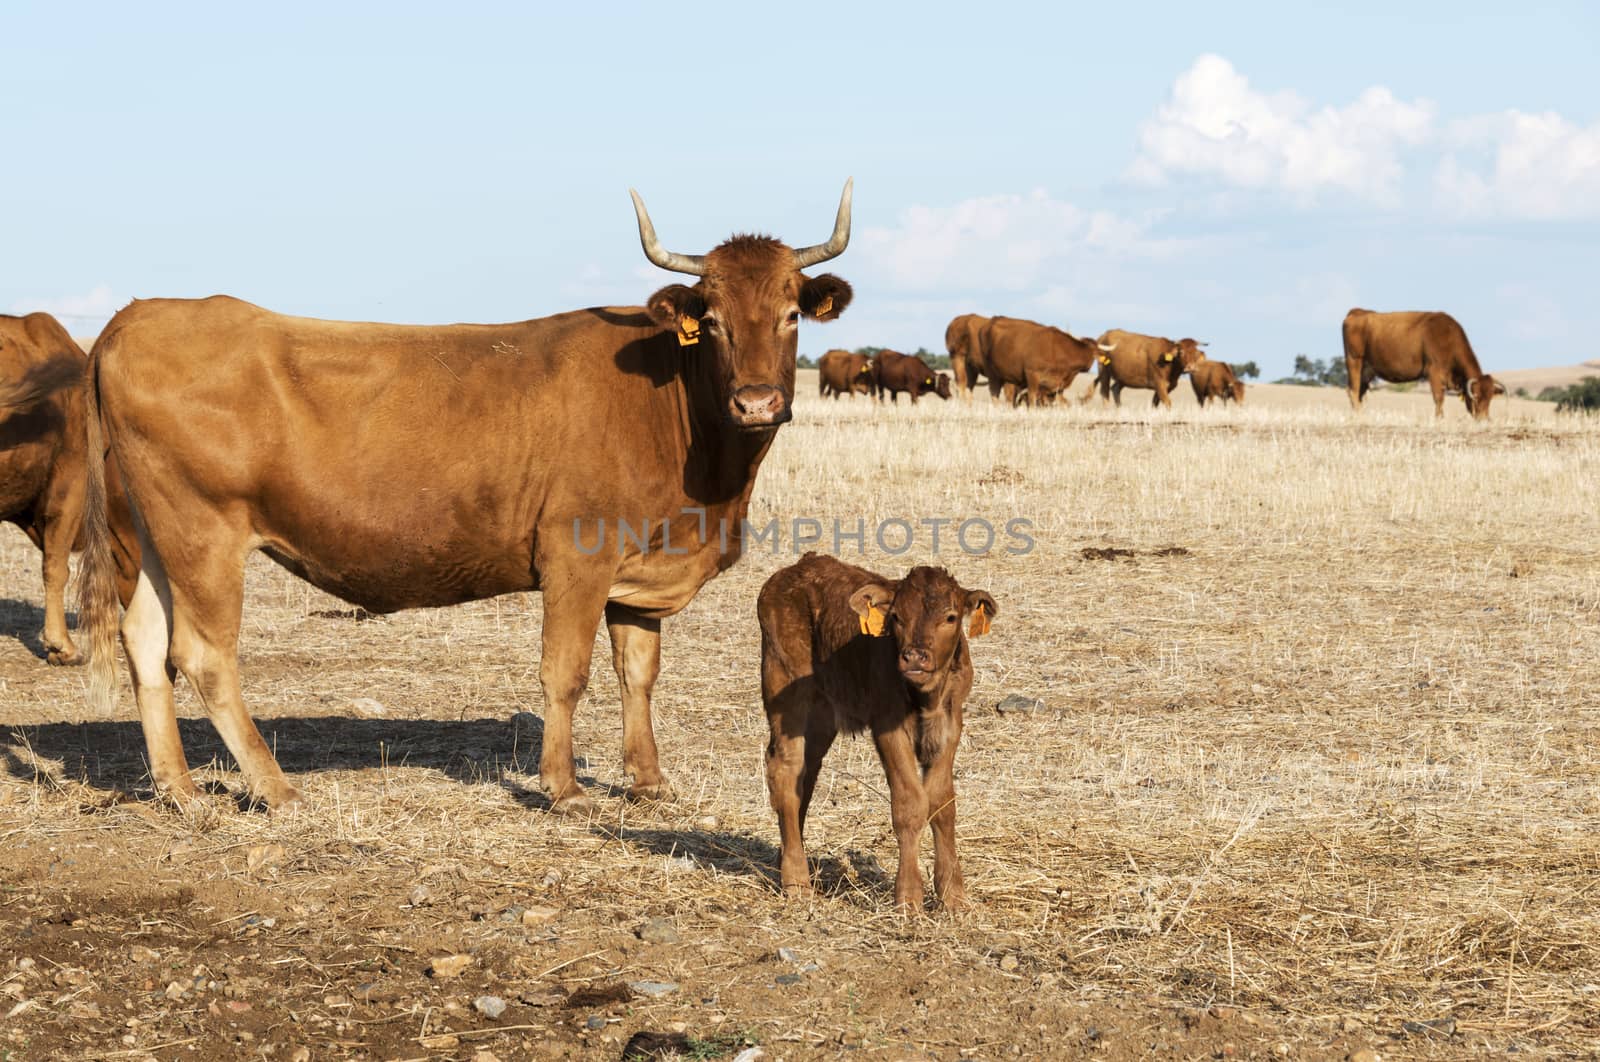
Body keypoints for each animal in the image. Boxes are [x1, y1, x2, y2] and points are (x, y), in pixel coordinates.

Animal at [84, 180, 864, 812]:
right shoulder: (577, 556)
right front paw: (565, 788)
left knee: (144, 641)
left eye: (792, 315)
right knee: (204, 653)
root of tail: (137, 315)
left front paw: (648, 782)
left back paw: (181, 790)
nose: (757, 401)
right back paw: (275, 787)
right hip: (204, 531)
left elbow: (637, 675)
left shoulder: (639, 570)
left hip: (151, 533)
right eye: (718, 322)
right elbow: (565, 673)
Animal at [755, 550, 992, 908]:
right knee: (785, 769)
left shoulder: (951, 724)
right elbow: (910, 804)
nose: (914, 657)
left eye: (950, 617)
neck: (926, 698)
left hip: (823, 714)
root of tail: (799, 566)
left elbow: (942, 804)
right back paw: (797, 881)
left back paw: (786, 860)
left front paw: (953, 896)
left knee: (804, 778)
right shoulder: (887, 725)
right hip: (784, 684)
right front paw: (909, 898)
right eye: (895, 617)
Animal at [972, 315, 1113, 406]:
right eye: (1090, 352)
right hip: (992, 374)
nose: (1088, 367)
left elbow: (1062, 403)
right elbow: (1032, 399)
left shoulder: (1057, 386)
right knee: (994, 393)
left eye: (1095, 352)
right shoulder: (1032, 375)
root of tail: (991, 321)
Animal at [1344, 307, 1504, 419]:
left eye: (1490, 398)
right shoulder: (1434, 372)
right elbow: (1439, 398)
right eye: (1475, 396)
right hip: (1354, 361)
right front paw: (1439, 419)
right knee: (1353, 390)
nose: (1483, 419)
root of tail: (1357, 312)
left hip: (1367, 370)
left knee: (1360, 392)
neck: (1449, 338)